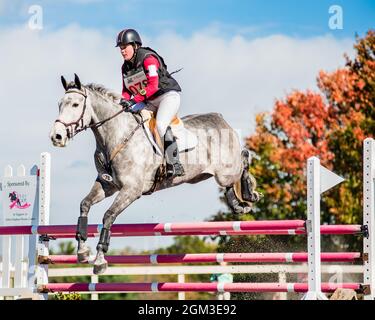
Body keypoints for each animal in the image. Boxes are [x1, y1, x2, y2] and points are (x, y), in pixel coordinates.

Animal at [50, 74, 262, 274]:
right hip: (203, 175)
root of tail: (220, 118)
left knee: (243, 159)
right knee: (232, 179)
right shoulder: (107, 185)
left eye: (76, 104)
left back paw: (249, 194)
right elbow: (84, 205)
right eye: (59, 104)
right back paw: (237, 204)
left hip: (226, 171)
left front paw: (100, 260)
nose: (56, 137)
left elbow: (108, 216)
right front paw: (82, 251)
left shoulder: (131, 190)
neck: (116, 135)